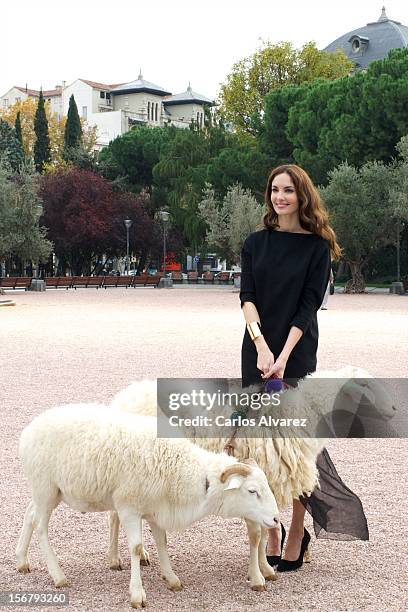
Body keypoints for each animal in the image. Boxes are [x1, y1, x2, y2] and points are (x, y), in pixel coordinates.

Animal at [15, 402, 278, 608]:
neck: (186, 472)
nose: (276, 519)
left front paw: (171, 578)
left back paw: (21, 560)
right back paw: (58, 575)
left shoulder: (156, 509)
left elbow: (162, 542)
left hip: (48, 491)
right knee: (40, 527)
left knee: (29, 514)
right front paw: (137, 593)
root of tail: (28, 430)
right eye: (252, 491)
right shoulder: (129, 508)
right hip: (46, 488)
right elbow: (136, 548)